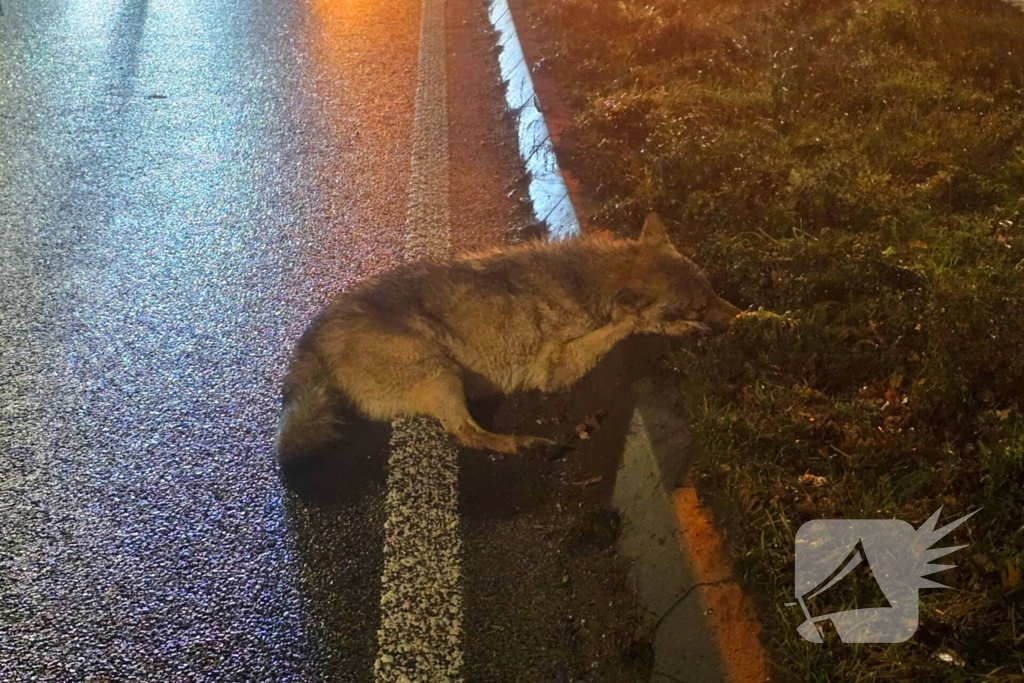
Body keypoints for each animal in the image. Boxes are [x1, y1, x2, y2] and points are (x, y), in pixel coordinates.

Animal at [276, 213, 740, 488]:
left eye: (712, 291)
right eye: (699, 306)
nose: (742, 316)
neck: (589, 283)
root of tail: (311, 337)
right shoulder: (557, 369)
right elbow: (625, 327)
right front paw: (677, 329)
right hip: (440, 369)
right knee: (466, 433)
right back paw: (529, 445)